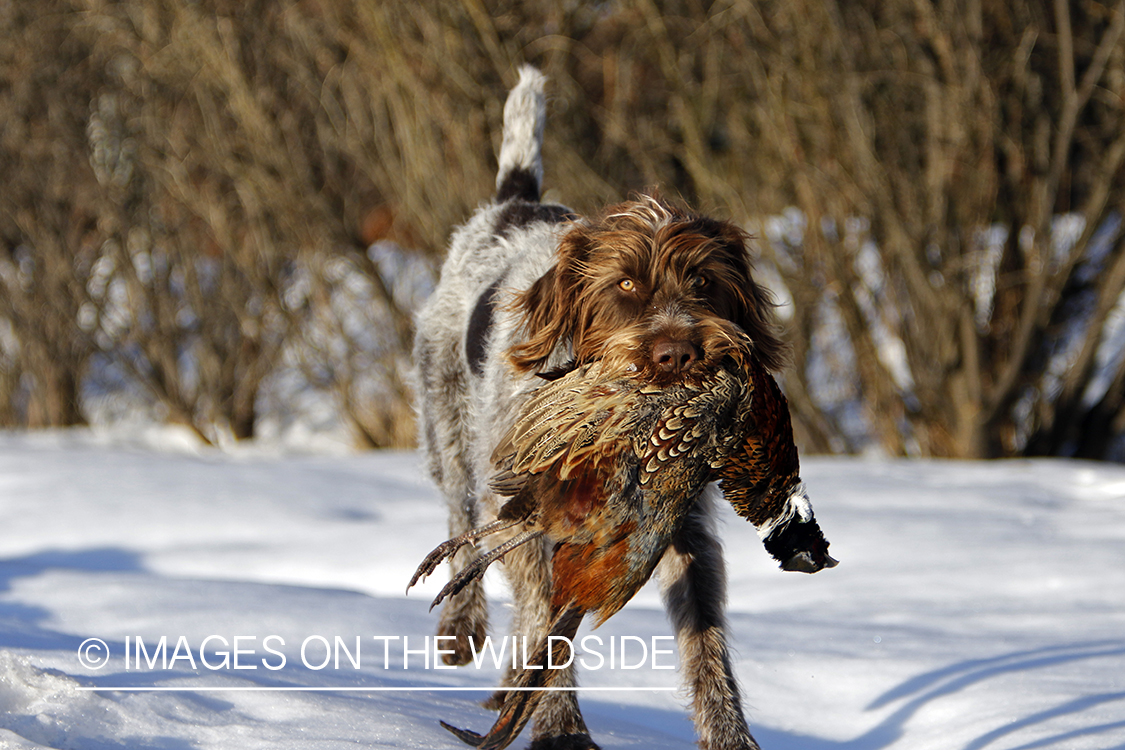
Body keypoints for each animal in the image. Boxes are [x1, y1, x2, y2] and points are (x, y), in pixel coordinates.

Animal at [414, 67, 792, 750]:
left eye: (702, 282)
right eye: (625, 285)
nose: (678, 353)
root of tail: (515, 203)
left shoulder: (681, 529)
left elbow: (706, 642)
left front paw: (729, 736)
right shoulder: (528, 513)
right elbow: (545, 621)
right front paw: (560, 727)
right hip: (450, 436)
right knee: (462, 522)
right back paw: (464, 628)